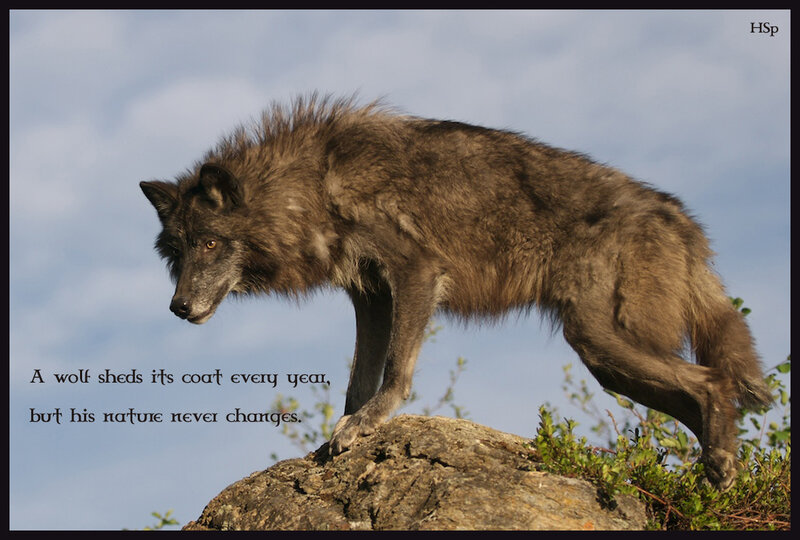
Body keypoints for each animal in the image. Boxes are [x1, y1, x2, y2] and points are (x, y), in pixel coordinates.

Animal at [140, 94, 771, 490]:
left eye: (211, 244)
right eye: (177, 253)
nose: (178, 307)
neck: (312, 186)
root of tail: (681, 219)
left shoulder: (417, 272)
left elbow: (395, 373)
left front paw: (366, 425)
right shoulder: (371, 297)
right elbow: (357, 381)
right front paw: (338, 437)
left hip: (600, 341)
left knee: (712, 384)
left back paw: (722, 471)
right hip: (608, 358)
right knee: (701, 396)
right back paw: (719, 477)